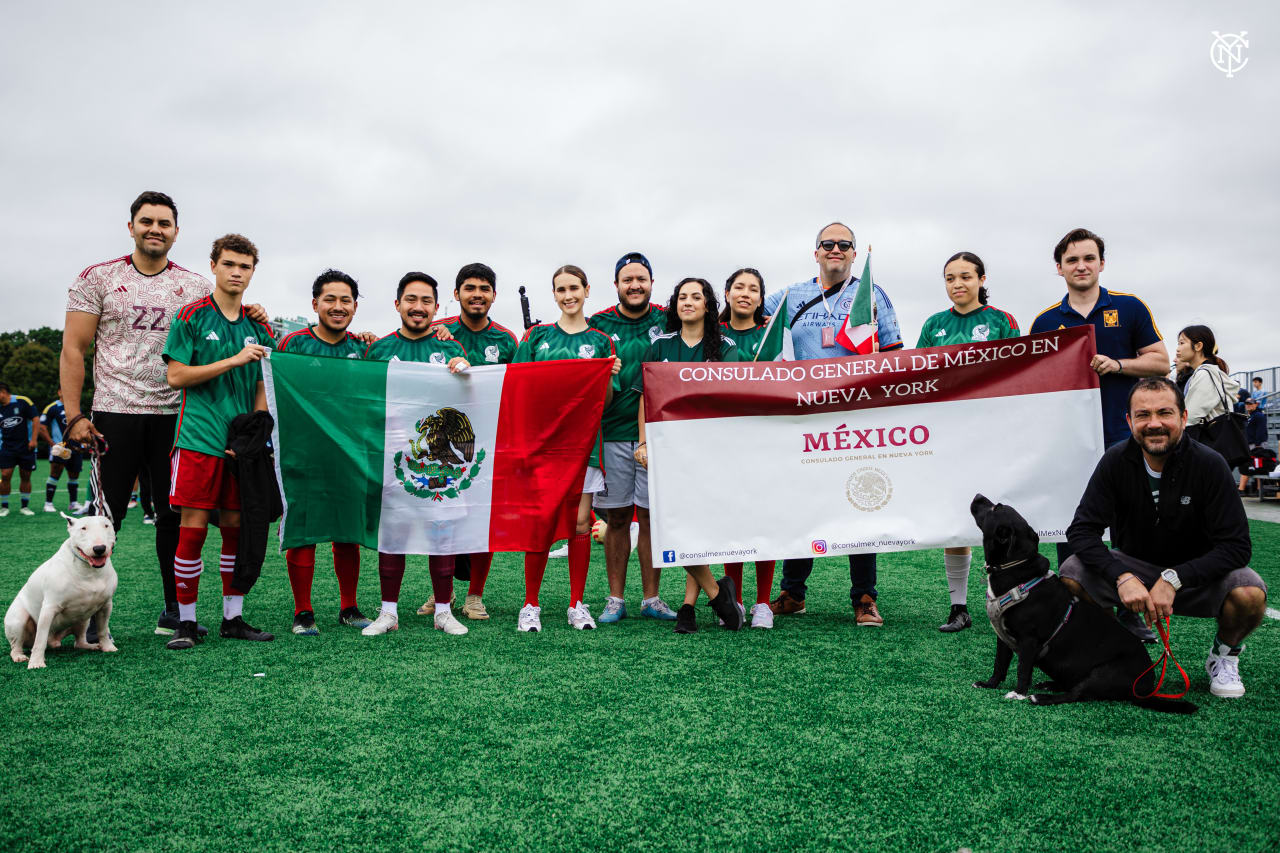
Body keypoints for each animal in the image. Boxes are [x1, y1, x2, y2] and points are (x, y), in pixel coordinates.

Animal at [6, 507, 119, 666]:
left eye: (106, 526)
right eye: (83, 528)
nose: (99, 548)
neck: (89, 570)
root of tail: (53, 641)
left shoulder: (106, 605)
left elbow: (102, 629)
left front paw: (108, 647)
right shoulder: (49, 608)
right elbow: (40, 639)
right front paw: (36, 663)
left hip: (83, 619)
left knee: (79, 641)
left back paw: (90, 646)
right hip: (17, 620)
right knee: (17, 645)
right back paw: (19, 656)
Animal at [972, 491, 1192, 712]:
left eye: (996, 508)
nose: (978, 495)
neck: (1015, 567)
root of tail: (1145, 689)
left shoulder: (1029, 640)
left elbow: (1023, 668)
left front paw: (1018, 693)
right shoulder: (1002, 637)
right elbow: (1000, 663)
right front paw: (989, 684)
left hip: (1103, 672)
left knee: (1076, 694)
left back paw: (1041, 697)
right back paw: (1049, 685)